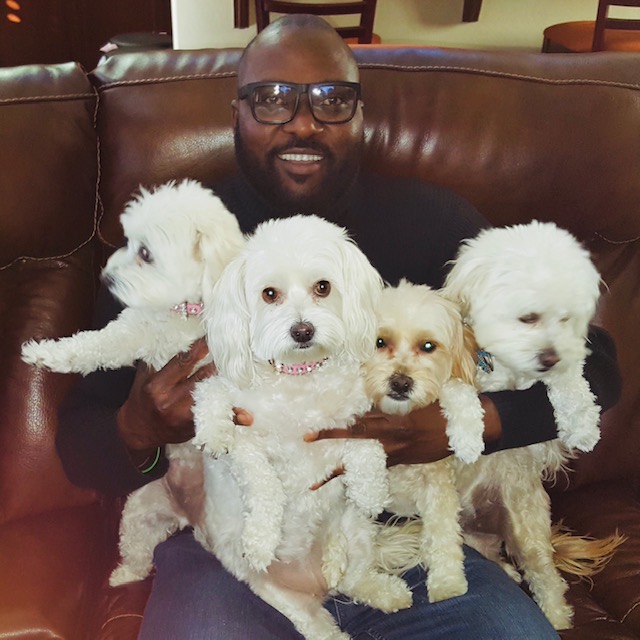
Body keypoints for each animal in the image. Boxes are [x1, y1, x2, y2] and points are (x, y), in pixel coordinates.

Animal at [20, 178, 245, 588]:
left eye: (144, 253)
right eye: (126, 240)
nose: (106, 277)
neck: (184, 312)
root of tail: (189, 516)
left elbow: (215, 390)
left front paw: (215, 429)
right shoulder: (132, 333)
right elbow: (92, 345)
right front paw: (47, 353)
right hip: (138, 513)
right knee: (139, 555)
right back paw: (122, 575)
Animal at [190, 215, 412, 640]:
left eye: (323, 287)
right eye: (269, 294)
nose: (303, 331)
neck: (301, 378)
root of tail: (319, 586)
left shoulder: (354, 420)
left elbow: (367, 446)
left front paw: (371, 488)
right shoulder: (244, 441)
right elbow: (262, 481)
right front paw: (261, 538)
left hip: (356, 531)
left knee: (354, 577)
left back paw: (385, 591)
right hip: (273, 592)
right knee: (318, 624)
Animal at [440, 220, 604, 632]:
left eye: (566, 319)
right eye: (528, 317)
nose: (549, 357)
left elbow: (571, 377)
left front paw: (582, 422)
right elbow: (456, 389)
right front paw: (467, 435)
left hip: (528, 525)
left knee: (543, 573)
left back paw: (557, 615)